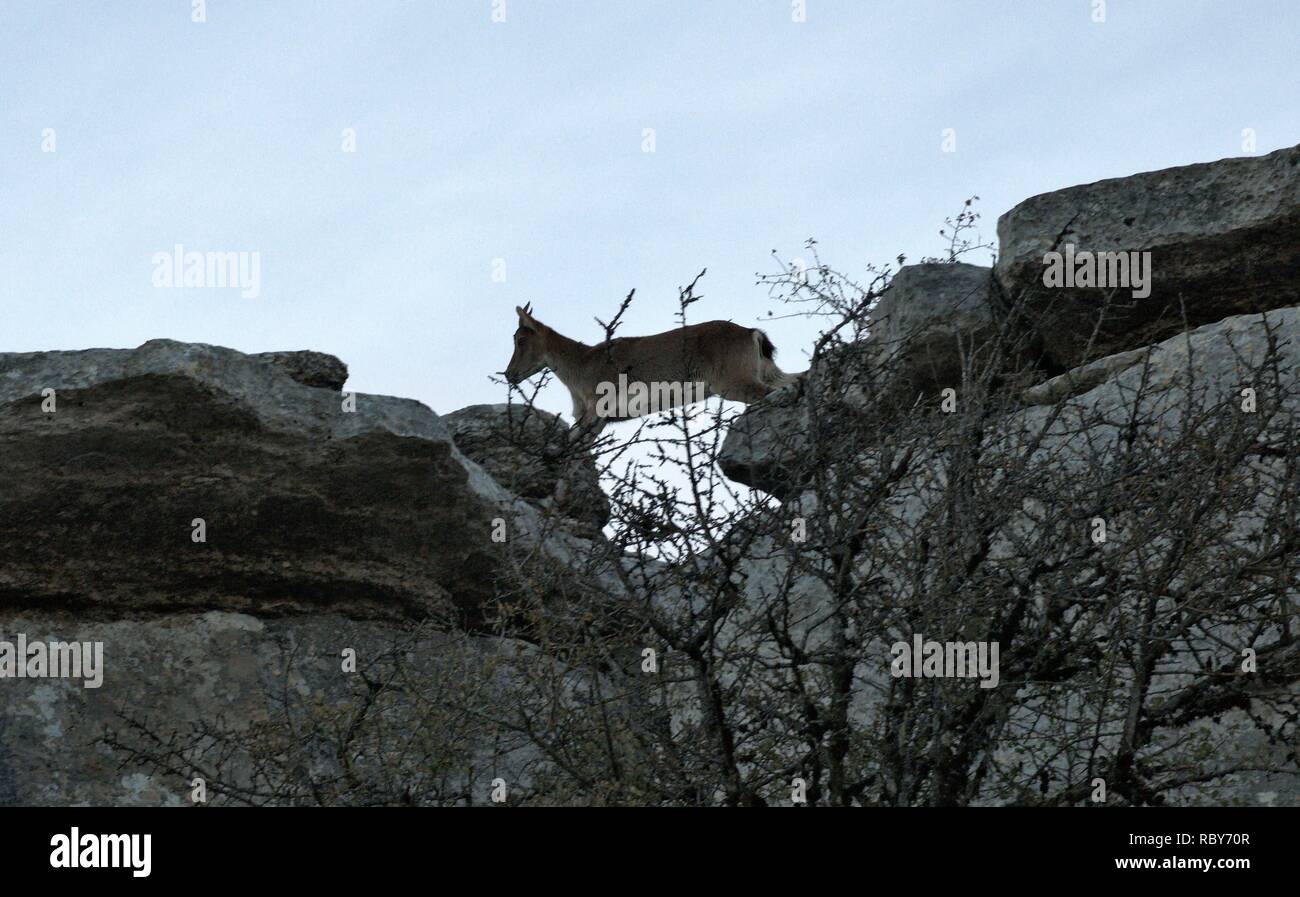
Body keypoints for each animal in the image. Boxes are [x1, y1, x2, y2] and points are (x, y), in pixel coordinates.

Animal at [503, 303, 794, 437]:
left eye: (520, 339)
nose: (509, 374)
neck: (580, 363)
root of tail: (752, 333)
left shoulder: (594, 414)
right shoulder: (597, 421)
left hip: (734, 381)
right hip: (767, 371)